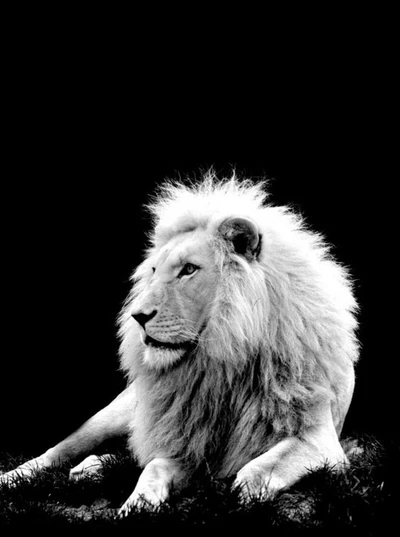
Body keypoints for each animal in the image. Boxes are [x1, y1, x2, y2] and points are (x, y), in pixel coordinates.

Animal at [0, 172, 358, 516]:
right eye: (154, 270)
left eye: (188, 270)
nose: (137, 316)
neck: (224, 360)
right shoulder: (187, 441)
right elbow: (154, 467)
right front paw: (138, 505)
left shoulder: (319, 440)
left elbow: (258, 467)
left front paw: (243, 491)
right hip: (112, 416)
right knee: (61, 451)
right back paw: (16, 477)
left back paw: (89, 469)